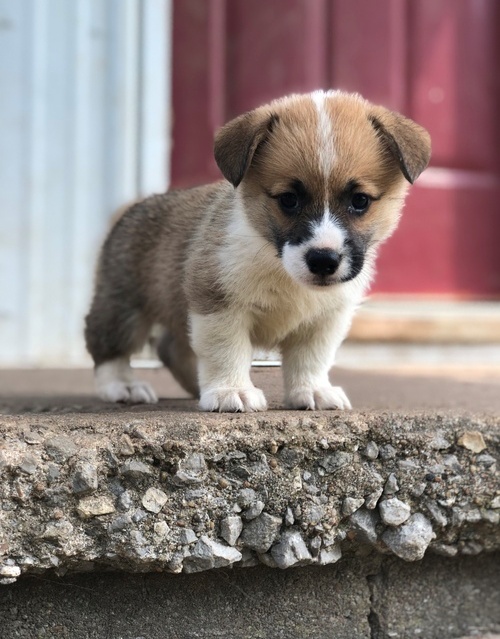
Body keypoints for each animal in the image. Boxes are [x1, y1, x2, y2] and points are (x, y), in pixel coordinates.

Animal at [85, 90, 430, 412]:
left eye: (360, 201)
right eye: (289, 199)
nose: (323, 261)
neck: (277, 264)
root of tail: (133, 206)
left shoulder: (326, 317)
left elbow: (312, 357)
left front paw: (313, 390)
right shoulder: (218, 303)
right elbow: (226, 350)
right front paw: (231, 391)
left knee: (172, 348)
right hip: (123, 308)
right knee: (106, 346)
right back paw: (123, 386)